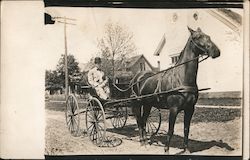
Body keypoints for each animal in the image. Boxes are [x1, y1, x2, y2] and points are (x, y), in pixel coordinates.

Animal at [130, 26, 220, 154]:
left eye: (208, 36)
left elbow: (186, 129)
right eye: (197, 37)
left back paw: (146, 142)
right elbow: (171, 130)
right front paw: (166, 150)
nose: (216, 52)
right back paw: (142, 142)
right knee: (139, 120)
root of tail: (137, 77)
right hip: (137, 103)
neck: (182, 78)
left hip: (148, 104)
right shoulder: (173, 109)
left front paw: (186, 149)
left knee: (143, 120)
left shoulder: (190, 109)